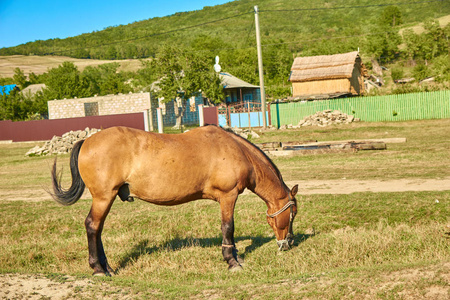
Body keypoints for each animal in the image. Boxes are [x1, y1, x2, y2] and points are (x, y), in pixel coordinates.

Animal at [51, 125, 298, 276]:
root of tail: (86, 141)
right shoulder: (228, 196)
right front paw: (232, 261)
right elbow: (228, 227)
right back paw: (98, 269)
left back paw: (107, 267)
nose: (288, 243)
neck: (236, 151)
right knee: (92, 226)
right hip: (103, 197)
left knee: (98, 229)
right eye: (293, 214)